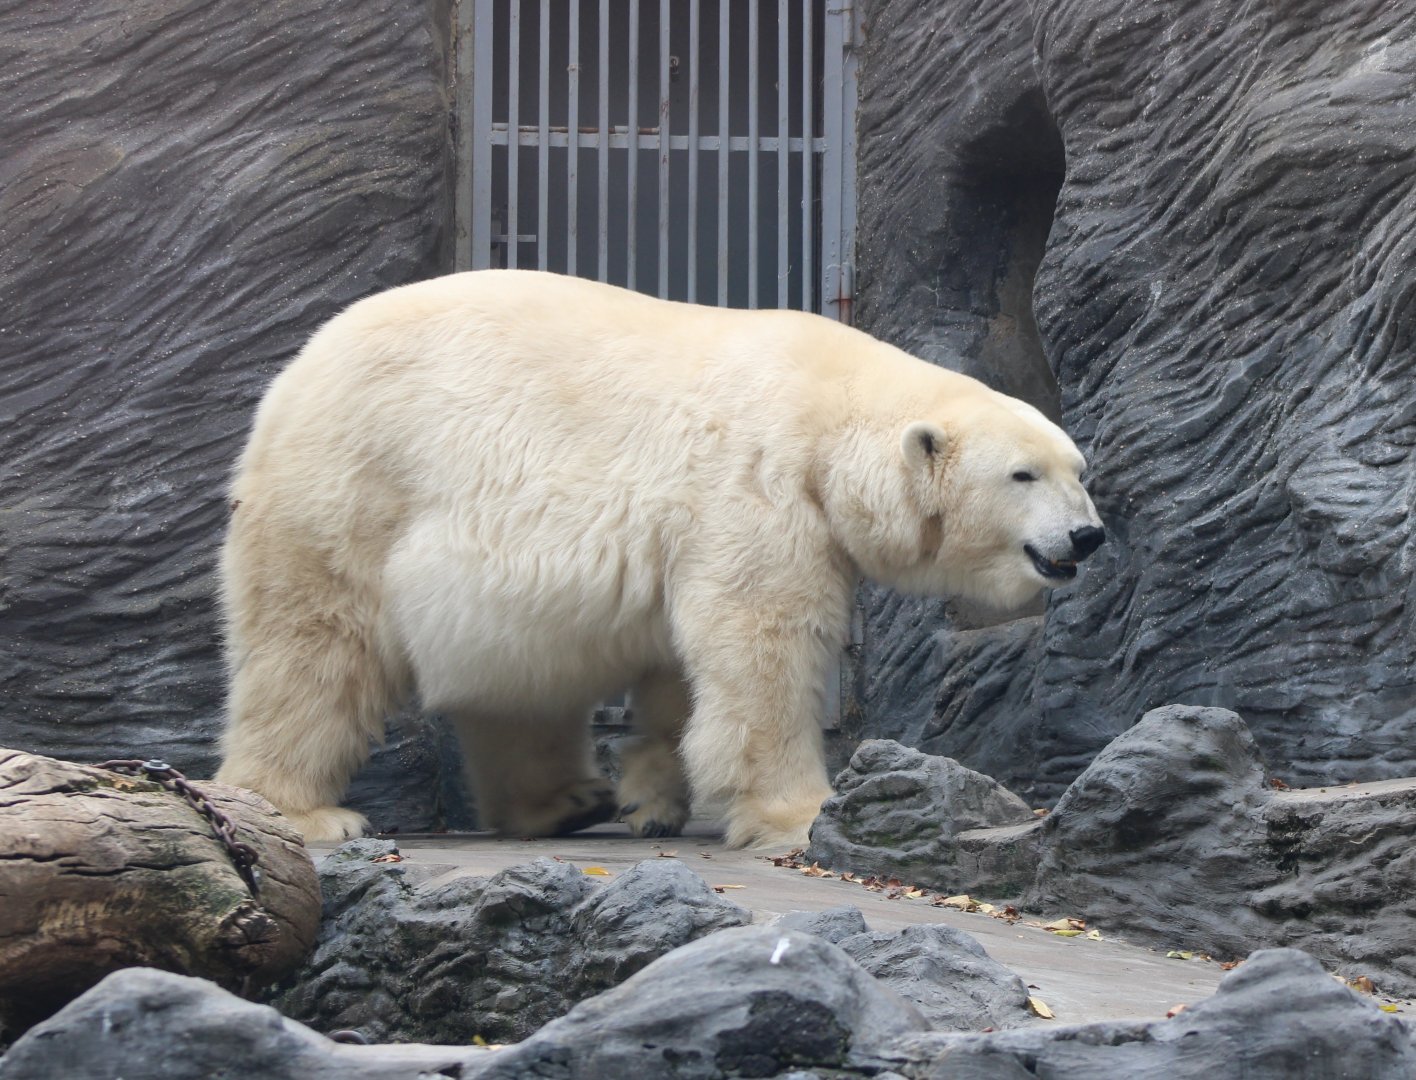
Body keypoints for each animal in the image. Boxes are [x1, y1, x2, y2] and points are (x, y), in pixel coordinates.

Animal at [215, 269, 1104, 849]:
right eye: (1023, 475)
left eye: (1079, 470)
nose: (1087, 537)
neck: (825, 414)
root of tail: (288, 383)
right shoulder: (756, 491)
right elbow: (762, 649)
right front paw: (802, 812)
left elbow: (682, 672)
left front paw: (651, 797)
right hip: (355, 490)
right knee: (316, 649)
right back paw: (303, 813)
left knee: (516, 688)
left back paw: (568, 801)